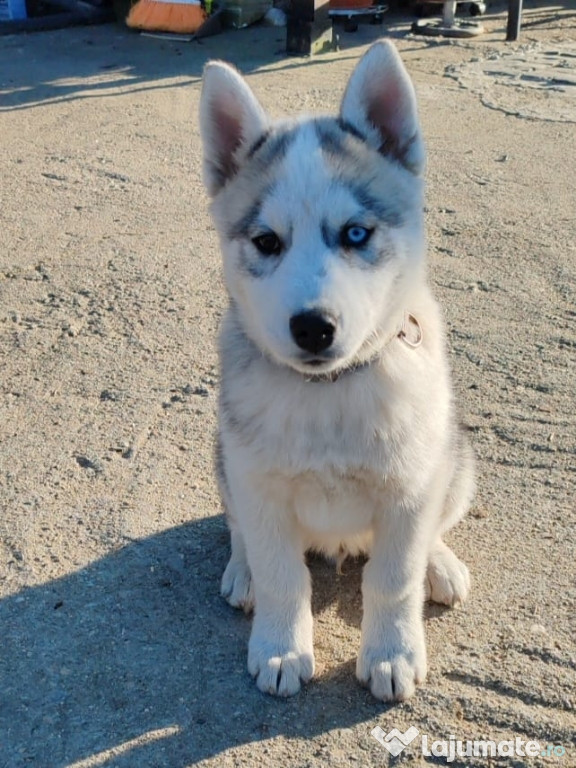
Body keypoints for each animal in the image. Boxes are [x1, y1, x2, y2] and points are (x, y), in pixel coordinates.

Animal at [200, 42, 474, 704]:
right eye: (266, 241)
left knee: (430, 530)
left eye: (355, 233)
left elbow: (394, 578)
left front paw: (392, 652)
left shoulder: (408, 489)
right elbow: (281, 574)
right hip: (224, 460)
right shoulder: (260, 485)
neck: (328, 394)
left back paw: (440, 563)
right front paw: (280, 647)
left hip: (455, 464)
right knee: (240, 530)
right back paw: (242, 572)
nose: (313, 328)